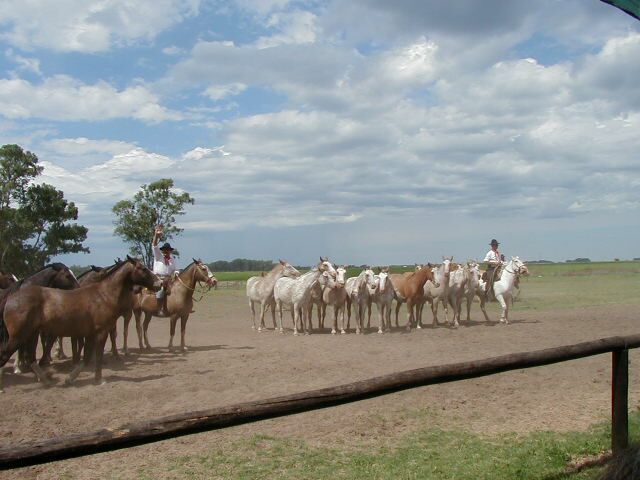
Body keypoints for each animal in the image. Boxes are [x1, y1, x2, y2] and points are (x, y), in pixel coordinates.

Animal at [0, 256, 160, 388]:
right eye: (143, 268)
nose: (159, 283)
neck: (103, 295)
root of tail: (11, 298)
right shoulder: (100, 332)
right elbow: (96, 356)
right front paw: (99, 380)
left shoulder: (90, 334)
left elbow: (87, 357)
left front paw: (70, 379)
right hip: (19, 336)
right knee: (6, 354)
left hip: (31, 334)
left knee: (31, 357)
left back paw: (45, 380)